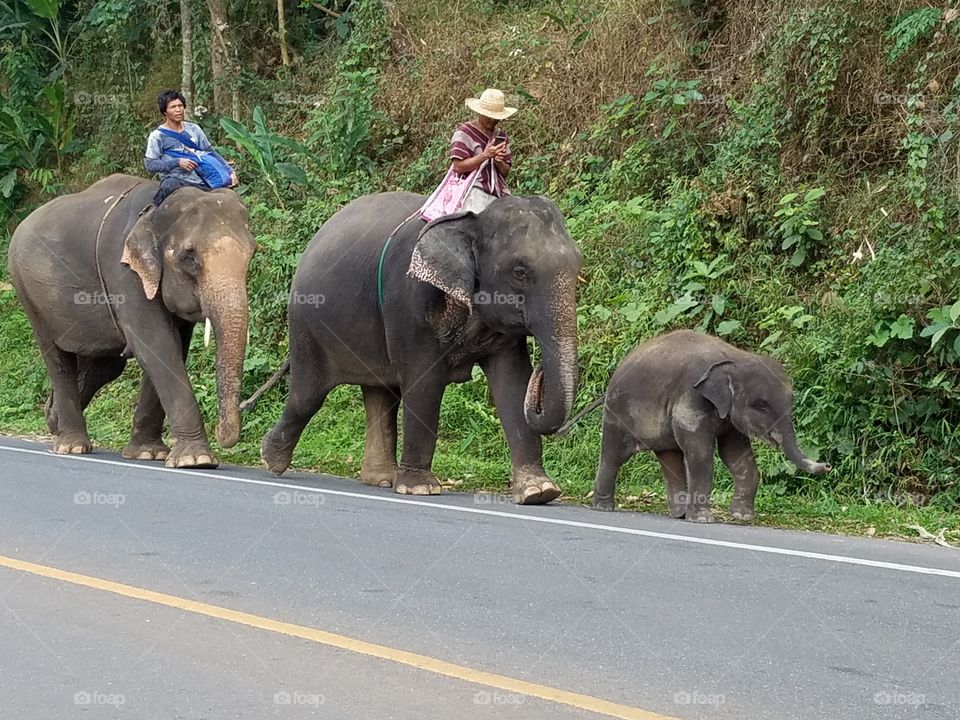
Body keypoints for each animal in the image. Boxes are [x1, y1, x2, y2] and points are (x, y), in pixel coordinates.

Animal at [7, 173, 256, 466]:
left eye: (252, 253)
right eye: (189, 257)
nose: (221, 433)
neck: (155, 209)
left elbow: (173, 347)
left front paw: (148, 453)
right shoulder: (123, 272)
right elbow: (157, 344)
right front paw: (196, 460)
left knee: (104, 365)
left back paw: (52, 419)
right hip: (28, 293)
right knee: (58, 359)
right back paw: (72, 446)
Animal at [258, 191, 582, 504]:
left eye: (578, 265)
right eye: (519, 271)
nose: (542, 370)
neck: (473, 216)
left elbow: (513, 382)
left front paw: (539, 491)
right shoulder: (409, 301)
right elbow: (424, 384)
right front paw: (419, 488)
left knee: (380, 394)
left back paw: (380, 478)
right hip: (306, 324)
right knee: (307, 395)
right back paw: (271, 459)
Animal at [562, 330, 830, 522]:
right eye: (761, 406)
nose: (827, 465)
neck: (735, 357)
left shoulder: (727, 416)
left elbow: (736, 455)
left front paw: (742, 517)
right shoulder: (690, 399)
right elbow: (700, 453)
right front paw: (703, 520)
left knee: (669, 458)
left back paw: (679, 514)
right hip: (617, 412)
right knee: (613, 455)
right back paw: (604, 508)